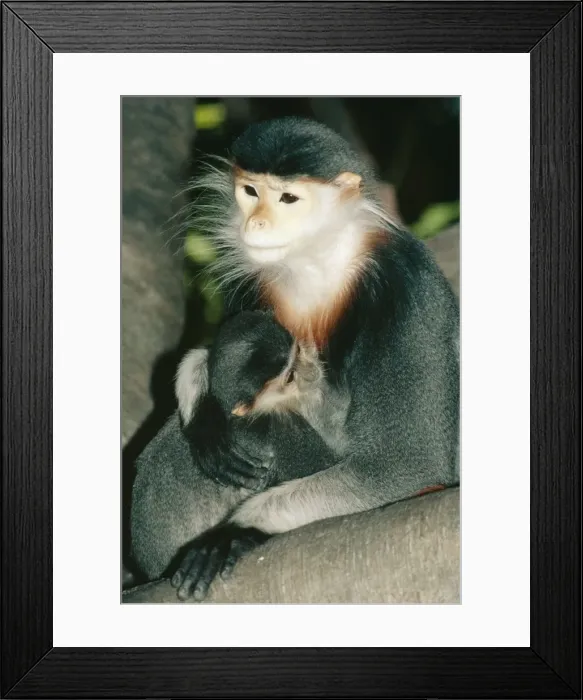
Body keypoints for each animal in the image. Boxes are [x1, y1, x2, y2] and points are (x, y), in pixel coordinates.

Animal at [169, 116, 459, 600]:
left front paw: (234, 531)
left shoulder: (403, 286)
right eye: (251, 191)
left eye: (288, 198)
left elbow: (403, 462)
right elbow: (220, 348)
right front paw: (203, 409)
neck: (318, 262)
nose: (257, 222)